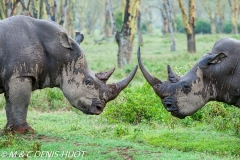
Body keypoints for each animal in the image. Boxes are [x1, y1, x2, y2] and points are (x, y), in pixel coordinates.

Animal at [0, 15, 138, 134]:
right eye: (88, 82)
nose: (100, 108)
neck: (59, 52)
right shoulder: (21, 75)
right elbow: (21, 102)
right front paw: (25, 131)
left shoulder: (11, 77)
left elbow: (10, 103)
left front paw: (9, 130)